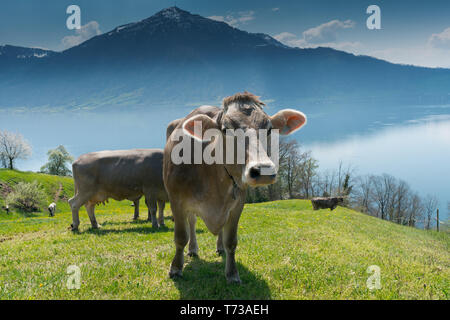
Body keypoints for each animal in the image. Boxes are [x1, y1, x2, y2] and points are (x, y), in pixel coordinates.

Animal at [163, 92, 308, 282]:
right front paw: (175, 268)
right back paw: (193, 249)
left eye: (269, 129)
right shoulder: (176, 200)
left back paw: (219, 248)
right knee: (192, 222)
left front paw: (232, 274)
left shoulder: (237, 204)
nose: (263, 170)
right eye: (226, 129)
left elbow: (231, 241)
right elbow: (180, 237)